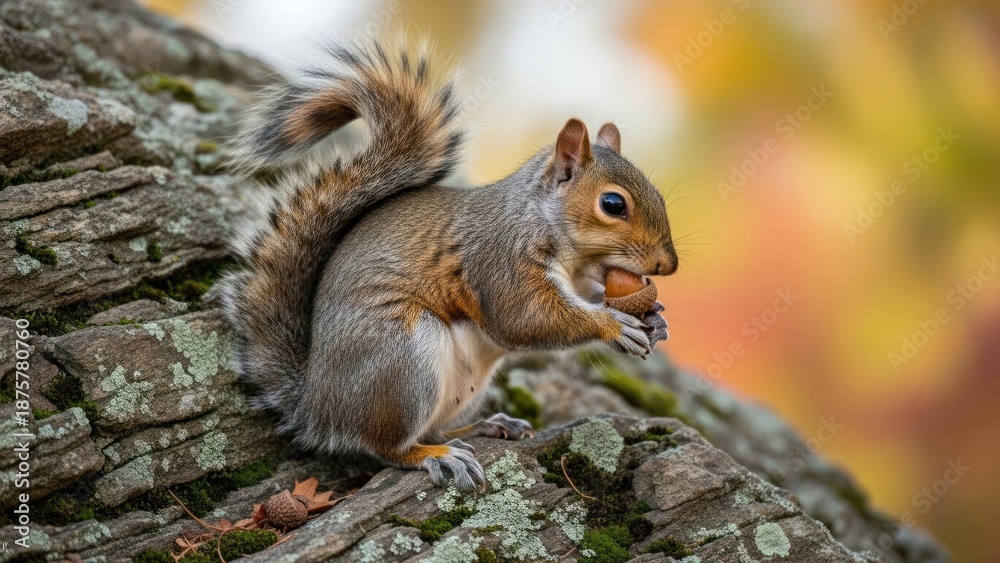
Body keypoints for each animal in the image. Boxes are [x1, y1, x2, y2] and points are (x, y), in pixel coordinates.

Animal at [220, 37, 678, 491]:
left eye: (658, 193)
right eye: (613, 204)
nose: (668, 265)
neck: (564, 248)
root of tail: (316, 406)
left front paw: (654, 318)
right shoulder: (499, 260)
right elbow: (526, 318)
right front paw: (615, 326)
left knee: (432, 428)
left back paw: (485, 427)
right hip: (402, 360)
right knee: (385, 446)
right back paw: (436, 455)